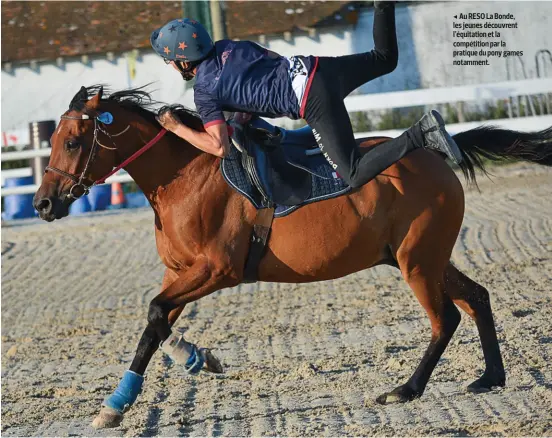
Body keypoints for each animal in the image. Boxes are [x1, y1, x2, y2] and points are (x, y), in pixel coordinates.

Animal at [33, 85, 552, 428]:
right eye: (52, 141)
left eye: (73, 142)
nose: (42, 204)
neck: (184, 178)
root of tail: (439, 153)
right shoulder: (179, 272)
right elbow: (154, 323)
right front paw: (117, 404)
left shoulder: (218, 270)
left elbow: (156, 313)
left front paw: (199, 359)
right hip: (426, 257)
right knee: (477, 297)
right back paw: (490, 377)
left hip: (417, 261)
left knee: (446, 318)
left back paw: (406, 389)